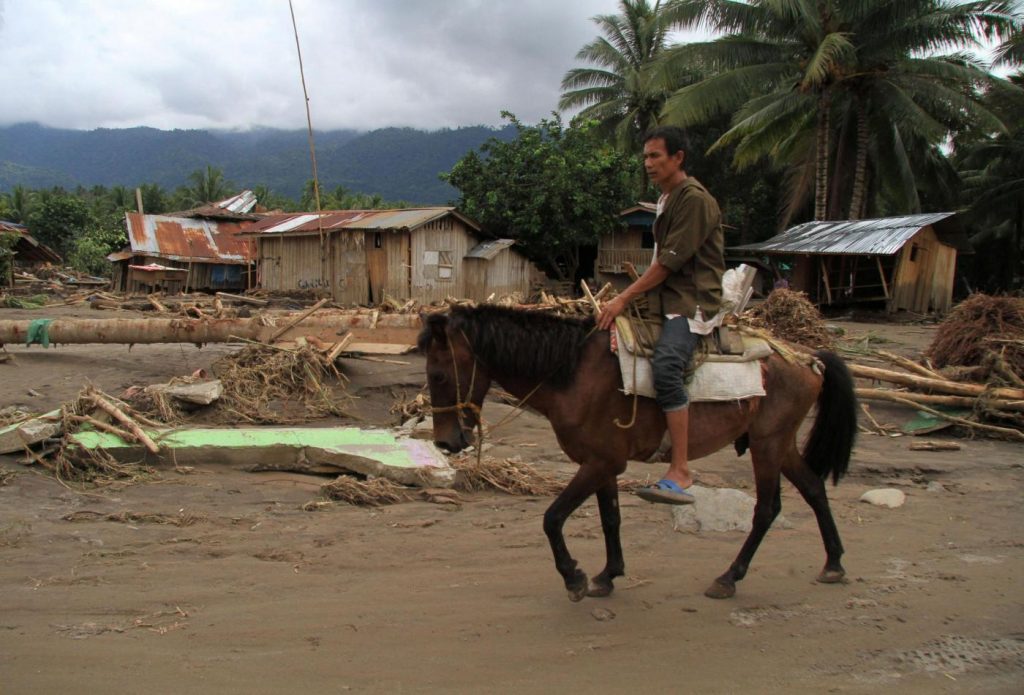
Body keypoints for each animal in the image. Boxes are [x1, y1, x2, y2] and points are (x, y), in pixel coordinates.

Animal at [415, 307, 856, 601]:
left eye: (438, 375)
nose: (446, 442)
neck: (572, 374)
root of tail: (809, 358)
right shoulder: (601, 464)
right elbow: (611, 518)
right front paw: (608, 575)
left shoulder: (601, 463)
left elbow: (552, 518)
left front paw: (573, 577)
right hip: (780, 443)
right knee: (814, 489)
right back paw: (833, 563)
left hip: (767, 445)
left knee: (766, 508)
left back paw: (730, 577)